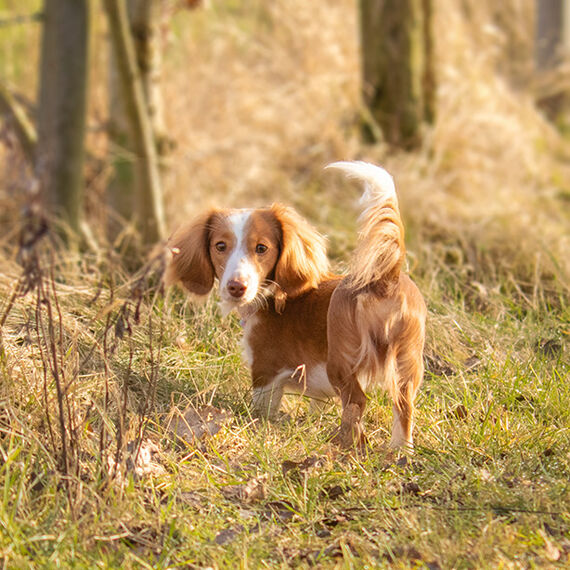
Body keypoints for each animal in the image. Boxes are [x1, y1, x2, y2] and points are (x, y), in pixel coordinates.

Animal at [164, 161, 422, 448]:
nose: (236, 287)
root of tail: (384, 277)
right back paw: (400, 450)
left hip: (340, 362)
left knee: (357, 402)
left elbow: (263, 409)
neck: (274, 294)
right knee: (404, 406)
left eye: (261, 248)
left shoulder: (264, 371)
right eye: (220, 246)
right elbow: (317, 405)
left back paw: (346, 443)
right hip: (406, 363)